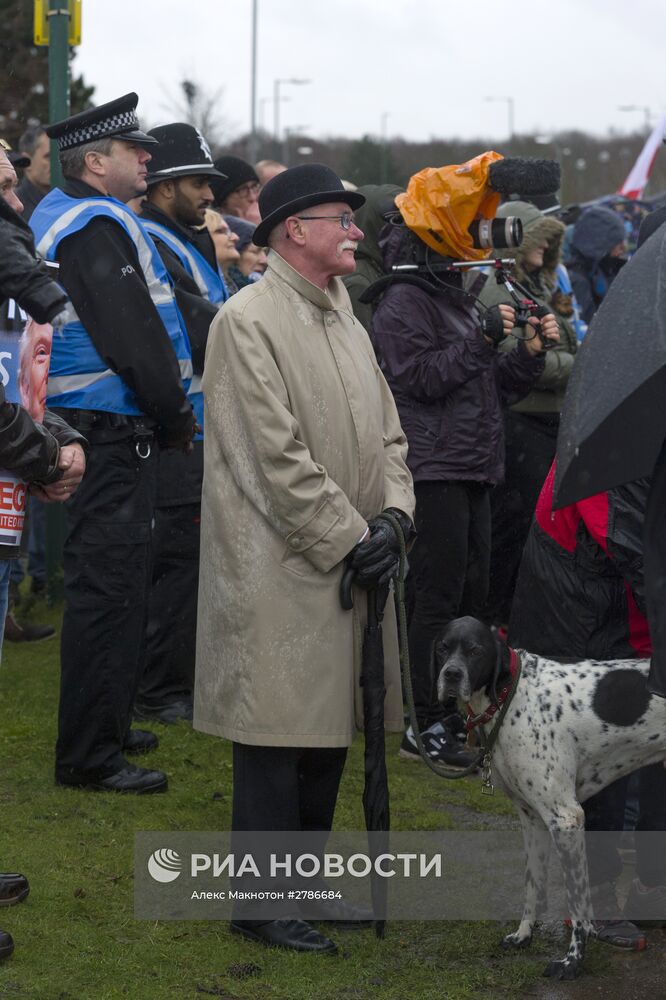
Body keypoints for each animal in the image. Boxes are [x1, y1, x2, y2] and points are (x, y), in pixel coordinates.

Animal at [436, 612, 664, 980]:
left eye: (474, 650)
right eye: (443, 648)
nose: (451, 675)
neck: (512, 694)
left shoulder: (566, 819)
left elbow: (578, 903)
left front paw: (573, 961)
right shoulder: (531, 819)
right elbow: (533, 884)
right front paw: (523, 935)